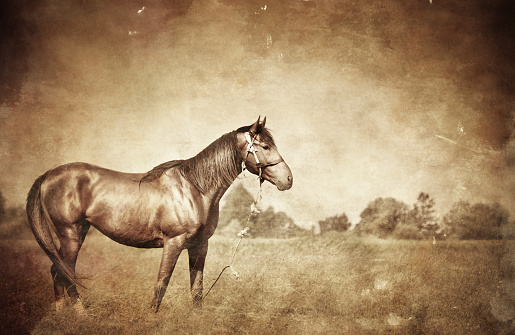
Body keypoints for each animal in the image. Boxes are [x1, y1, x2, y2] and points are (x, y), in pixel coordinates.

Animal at [26, 117, 292, 314]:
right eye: (265, 146)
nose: (288, 179)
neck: (194, 188)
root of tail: (49, 175)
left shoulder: (199, 245)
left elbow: (197, 289)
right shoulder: (173, 243)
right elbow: (161, 284)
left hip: (79, 232)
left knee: (57, 270)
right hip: (70, 233)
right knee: (65, 272)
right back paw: (81, 315)